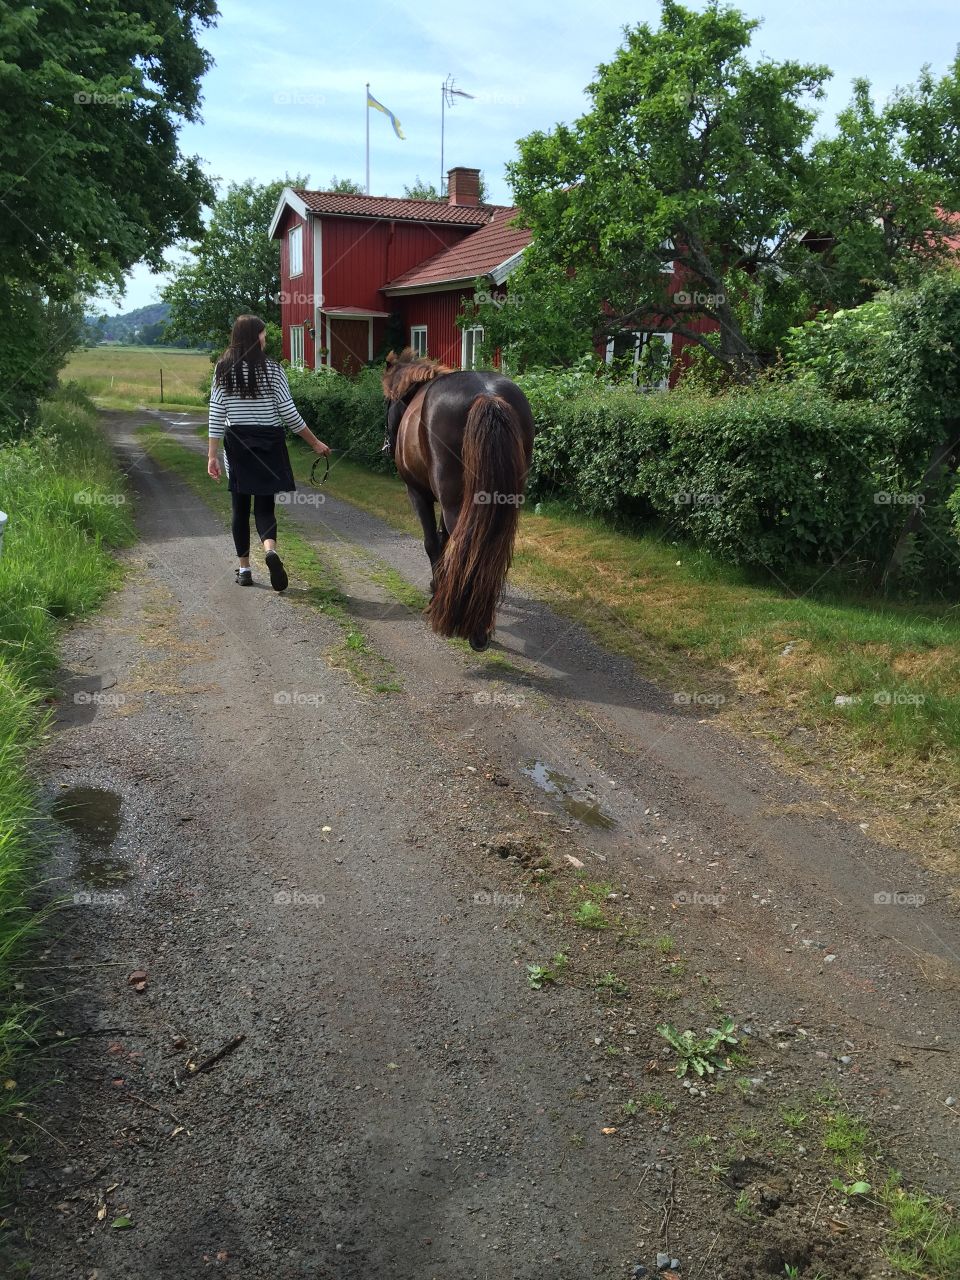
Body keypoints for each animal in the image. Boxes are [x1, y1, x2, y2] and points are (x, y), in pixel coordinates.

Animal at [382, 348, 535, 652]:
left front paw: (435, 593)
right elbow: (444, 541)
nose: (388, 443)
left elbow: (433, 542)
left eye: (388, 403)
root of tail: (488, 396)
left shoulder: (418, 493)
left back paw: (469, 626)